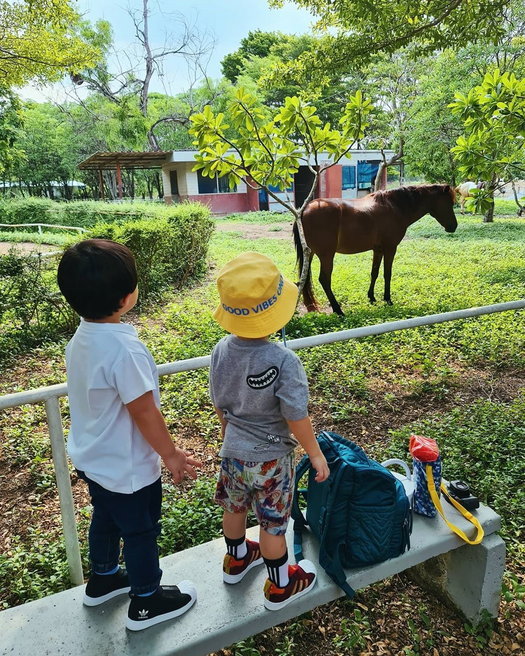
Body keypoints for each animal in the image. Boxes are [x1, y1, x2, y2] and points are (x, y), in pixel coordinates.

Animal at [294, 184, 458, 315]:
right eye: (449, 203)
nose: (453, 226)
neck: (395, 207)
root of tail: (305, 209)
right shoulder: (390, 248)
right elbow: (387, 274)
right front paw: (388, 299)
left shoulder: (378, 250)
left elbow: (374, 272)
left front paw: (371, 297)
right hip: (327, 255)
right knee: (324, 280)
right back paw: (338, 309)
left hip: (310, 253)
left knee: (305, 278)